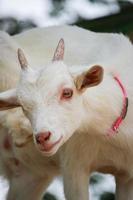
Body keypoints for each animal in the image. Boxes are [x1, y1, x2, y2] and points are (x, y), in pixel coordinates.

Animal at [0, 25, 133, 199]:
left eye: (67, 92)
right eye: (22, 105)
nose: (42, 137)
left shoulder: (127, 176)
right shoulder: (75, 166)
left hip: (29, 176)